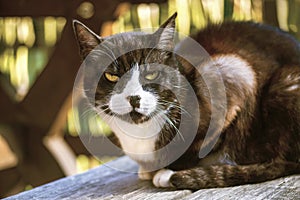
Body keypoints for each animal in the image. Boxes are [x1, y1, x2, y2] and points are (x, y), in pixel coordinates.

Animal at [72, 13, 300, 190]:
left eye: (151, 74)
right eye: (111, 76)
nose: (134, 98)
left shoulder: (234, 74)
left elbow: (204, 146)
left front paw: (167, 171)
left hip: (283, 86)